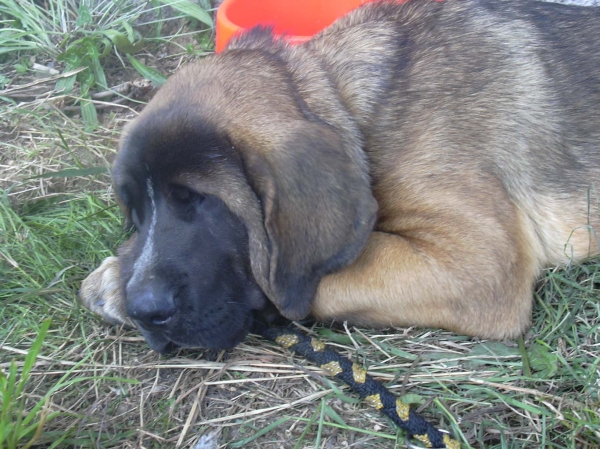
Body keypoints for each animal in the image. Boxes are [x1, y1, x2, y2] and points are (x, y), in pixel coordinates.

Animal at [79, 0, 600, 352]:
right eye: (135, 213)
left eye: (200, 201)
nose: (144, 309)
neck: (352, 104)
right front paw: (116, 276)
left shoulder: (477, 263)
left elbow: (315, 283)